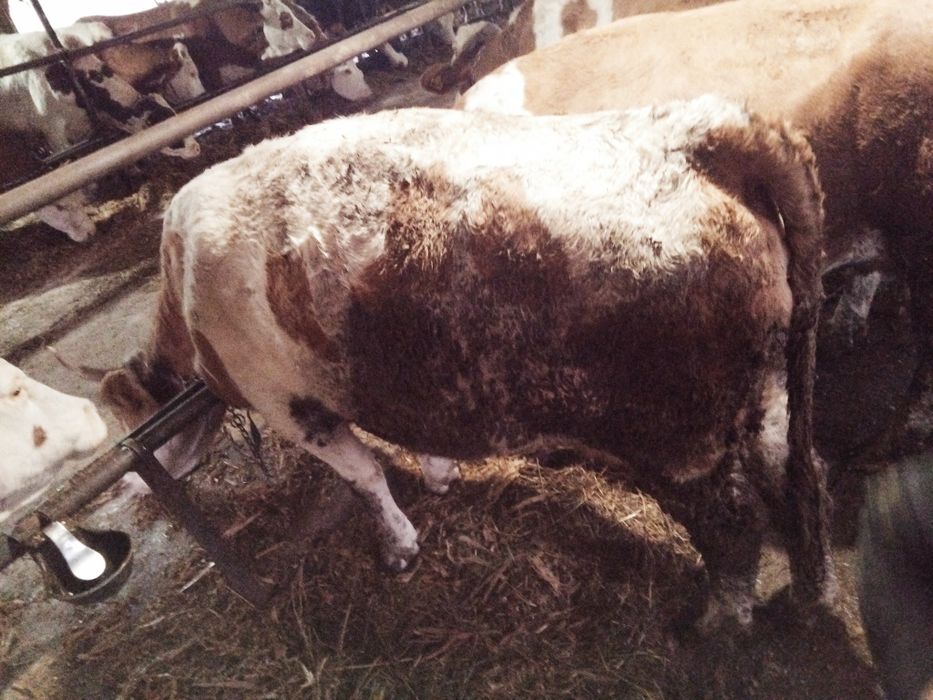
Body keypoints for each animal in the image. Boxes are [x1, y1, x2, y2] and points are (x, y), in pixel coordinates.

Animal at [96, 98, 832, 629]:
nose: (123, 489)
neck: (185, 282)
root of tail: (701, 129)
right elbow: (419, 440)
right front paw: (440, 474)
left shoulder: (292, 405)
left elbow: (365, 476)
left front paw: (399, 545)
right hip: (769, 398)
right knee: (800, 481)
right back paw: (805, 595)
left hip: (677, 440)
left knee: (734, 524)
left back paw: (718, 622)